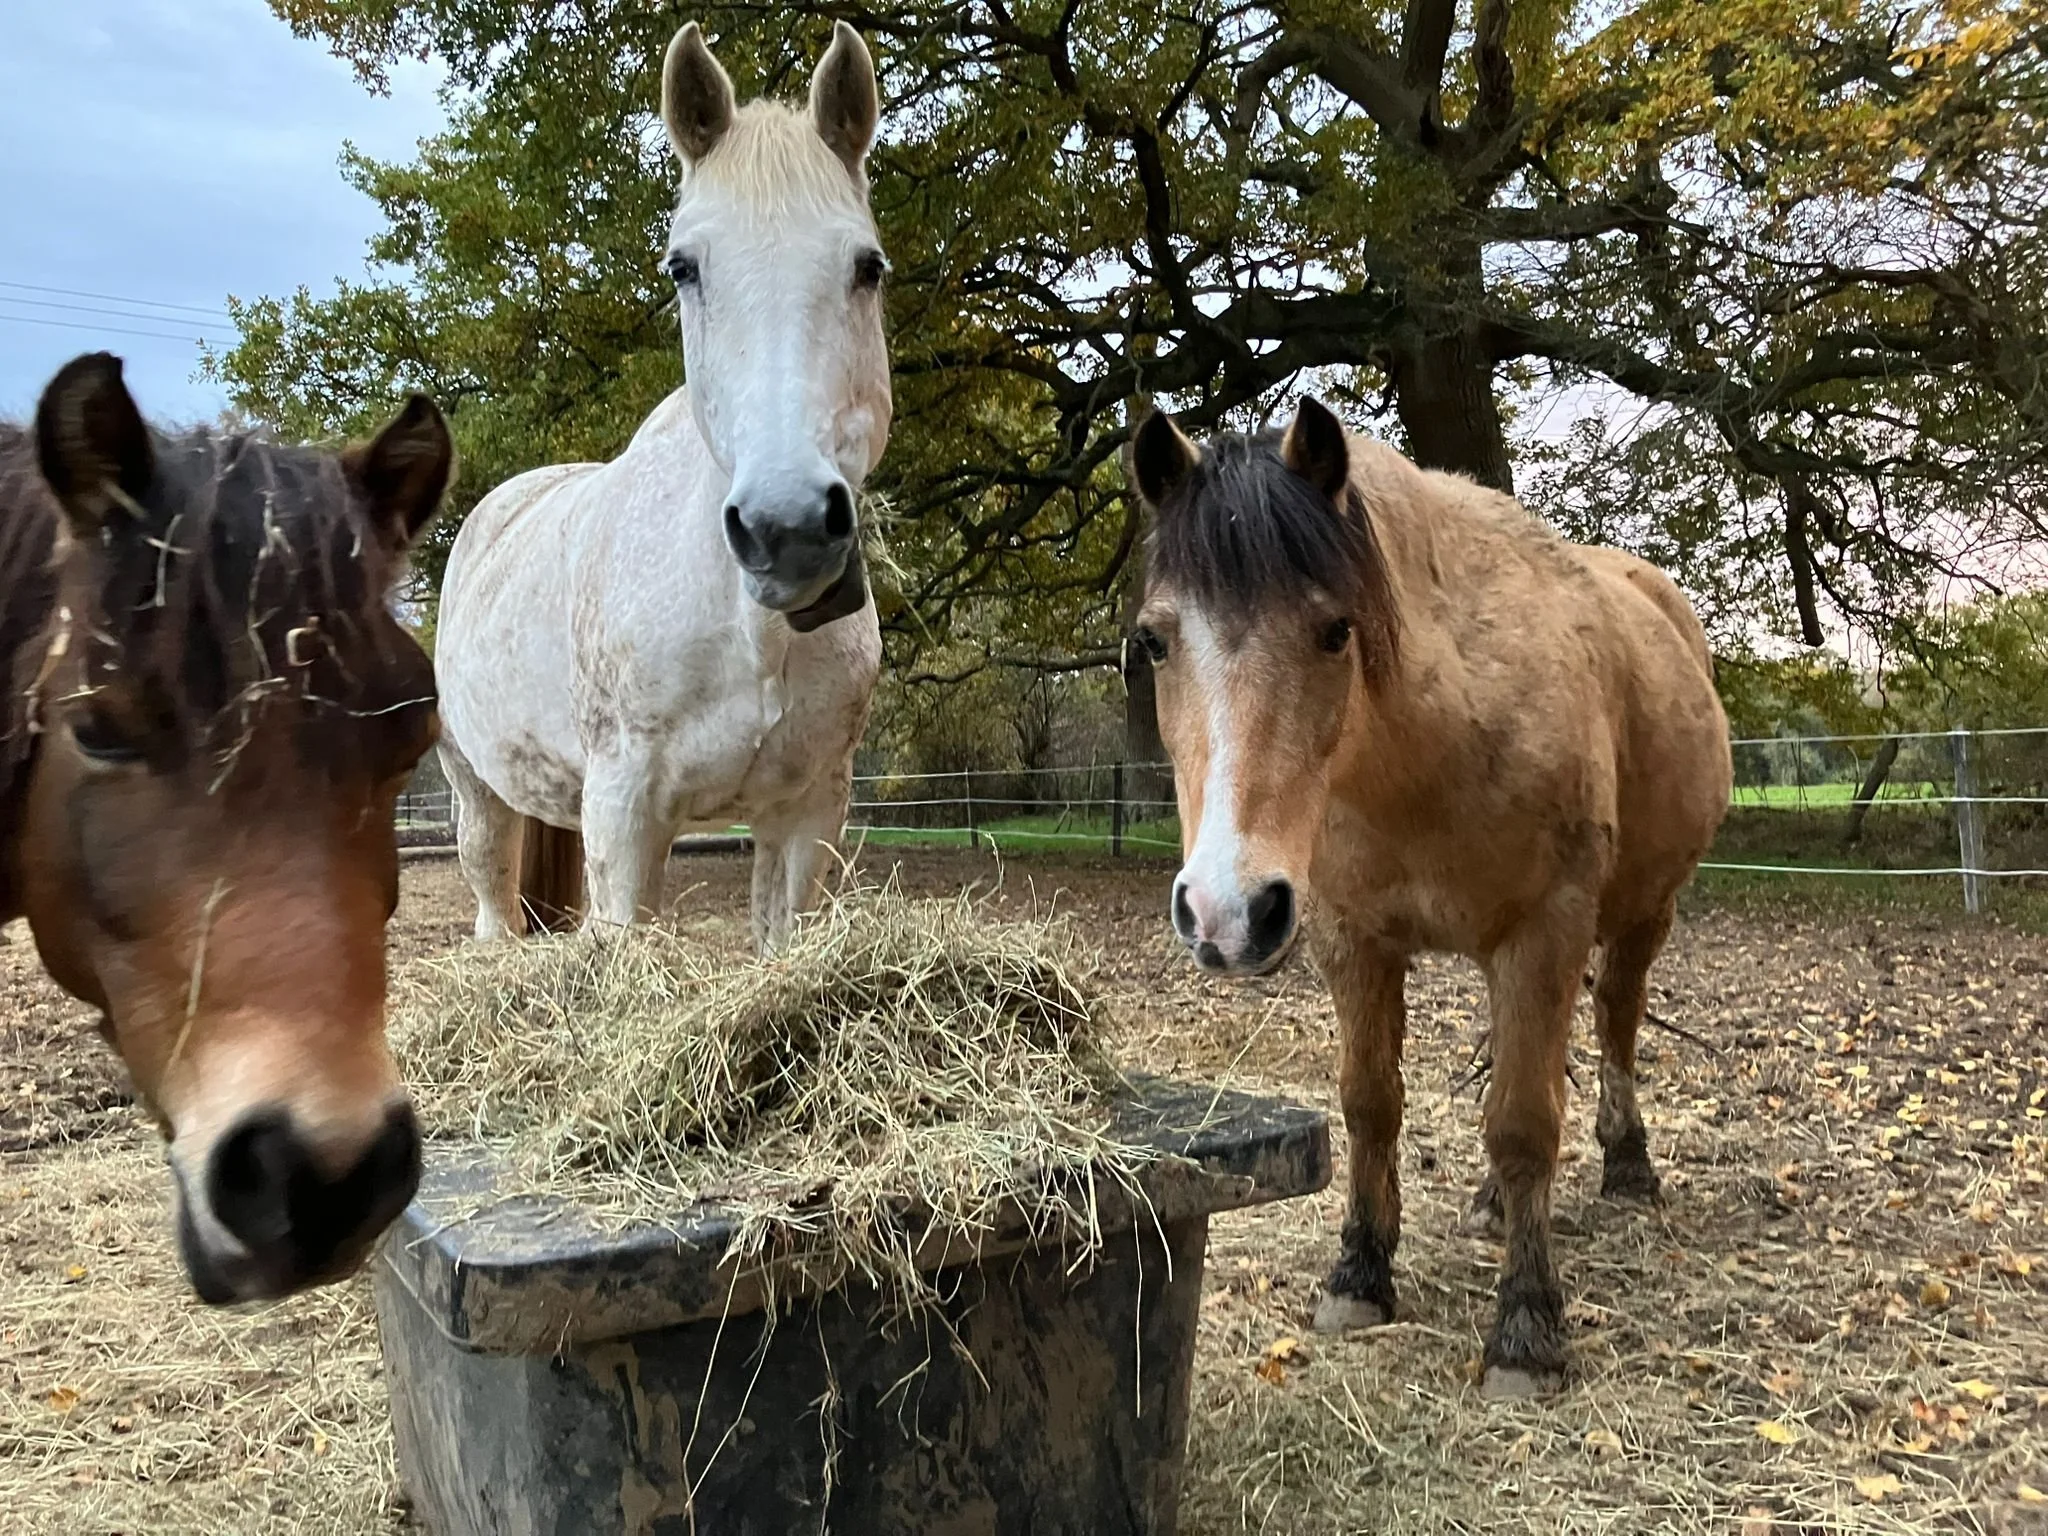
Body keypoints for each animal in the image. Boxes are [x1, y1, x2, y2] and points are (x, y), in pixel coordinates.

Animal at [434, 20, 888, 953]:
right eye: (685, 268)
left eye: (868, 266)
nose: (787, 528)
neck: (747, 633)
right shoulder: (625, 815)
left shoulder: (806, 815)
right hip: (475, 792)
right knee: (493, 899)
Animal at [1130, 398, 1731, 1397]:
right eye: (1154, 640)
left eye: (1336, 630)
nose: (1225, 912)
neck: (1428, 747)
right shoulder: (1353, 942)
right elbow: (1372, 1104)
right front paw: (1360, 1275)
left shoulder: (1544, 933)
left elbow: (1524, 1123)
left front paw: (1526, 1331)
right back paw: (1494, 1204)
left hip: (1645, 913)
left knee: (1614, 1022)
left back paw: (1628, 1166)